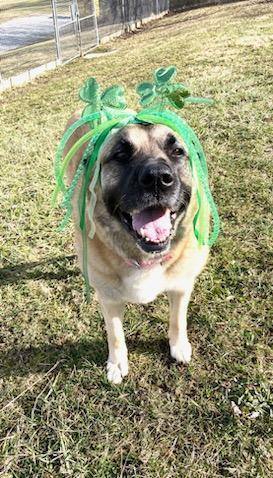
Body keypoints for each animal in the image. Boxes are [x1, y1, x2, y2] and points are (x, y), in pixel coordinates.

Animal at [65, 115, 208, 384]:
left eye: (177, 151)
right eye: (121, 153)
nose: (157, 178)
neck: (143, 256)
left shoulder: (181, 286)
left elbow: (178, 319)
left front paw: (178, 345)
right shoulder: (108, 298)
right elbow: (115, 334)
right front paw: (117, 362)